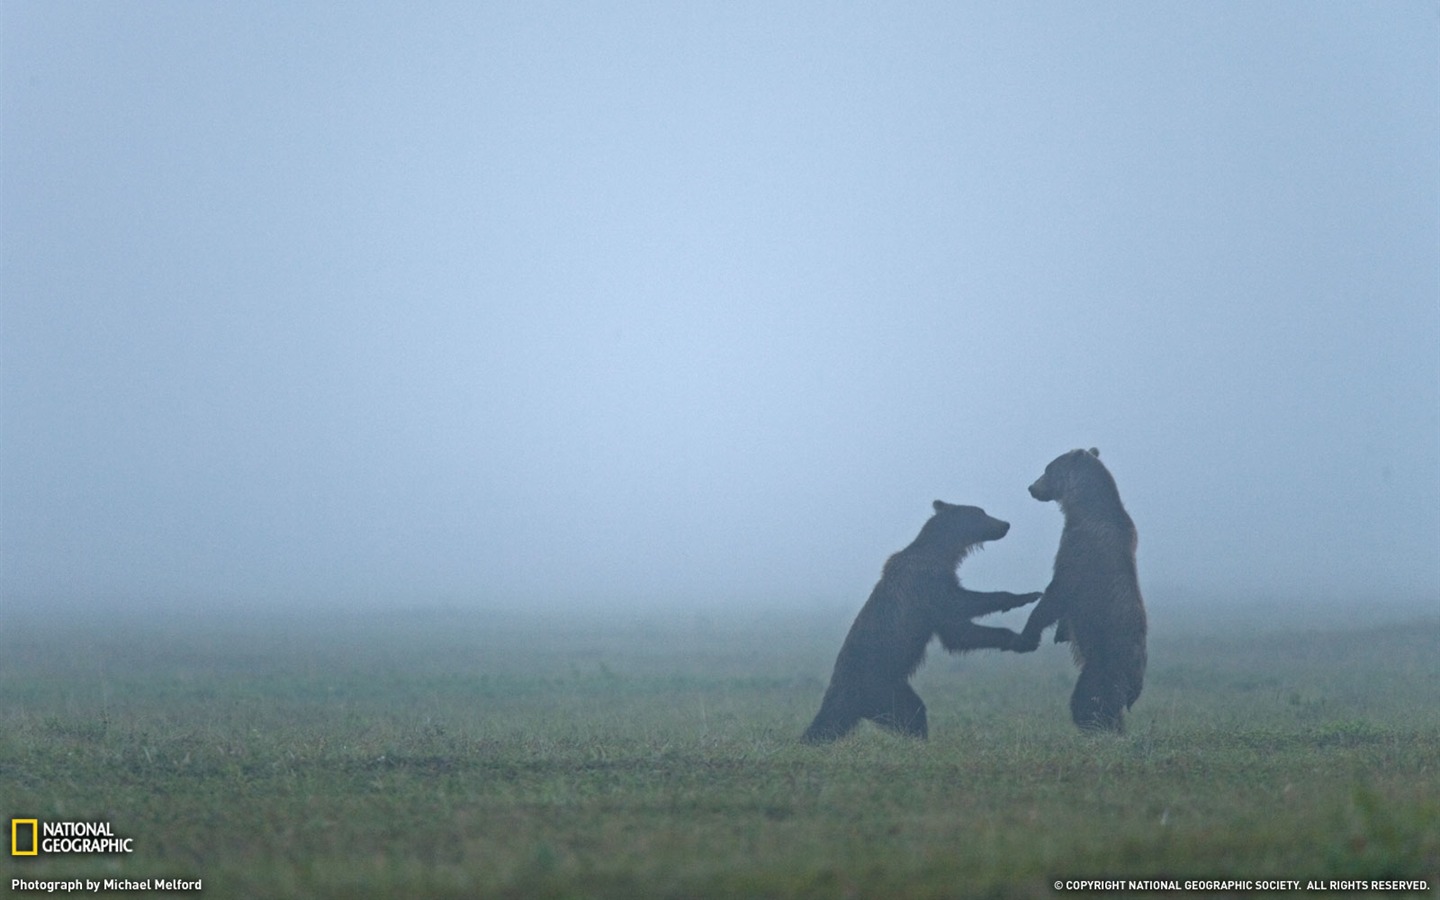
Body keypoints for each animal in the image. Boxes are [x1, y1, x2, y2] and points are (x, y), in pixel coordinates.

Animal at [800, 498, 1048, 743]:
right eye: (981, 513)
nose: (1005, 524)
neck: (943, 554)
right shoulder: (928, 586)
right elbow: (960, 609)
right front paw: (1025, 600)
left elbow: (958, 633)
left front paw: (1024, 633)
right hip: (877, 685)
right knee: (902, 714)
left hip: (894, 688)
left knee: (911, 710)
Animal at [1019, 446, 1152, 734]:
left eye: (1047, 469)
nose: (1031, 487)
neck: (1083, 509)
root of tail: (1135, 684)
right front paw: (1060, 633)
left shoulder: (1080, 547)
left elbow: (1057, 592)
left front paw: (1028, 634)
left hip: (1105, 661)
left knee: (1089, 700)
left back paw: (1099, 729)